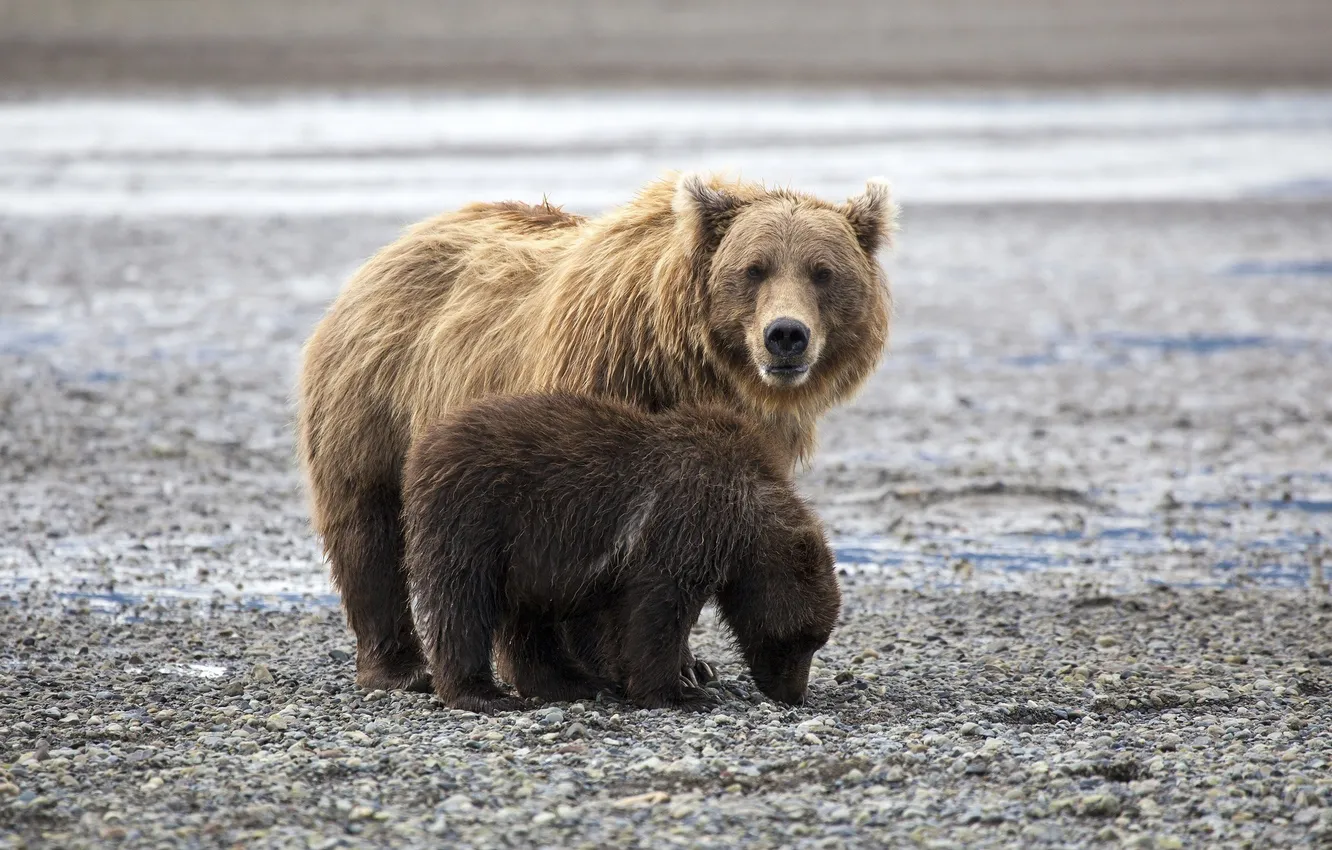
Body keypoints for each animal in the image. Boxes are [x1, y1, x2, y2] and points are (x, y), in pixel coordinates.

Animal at [400, 393, 842, 713]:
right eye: (801, 639)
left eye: (816, 640)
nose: (795, 694)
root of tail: (427, 443)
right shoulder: (682, 524)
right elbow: (656, 613)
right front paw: (682, 692)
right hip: (478, 516)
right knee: (463, 603)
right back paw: (482, 693)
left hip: (525, 557)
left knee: (529, 623)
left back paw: (575, 682)